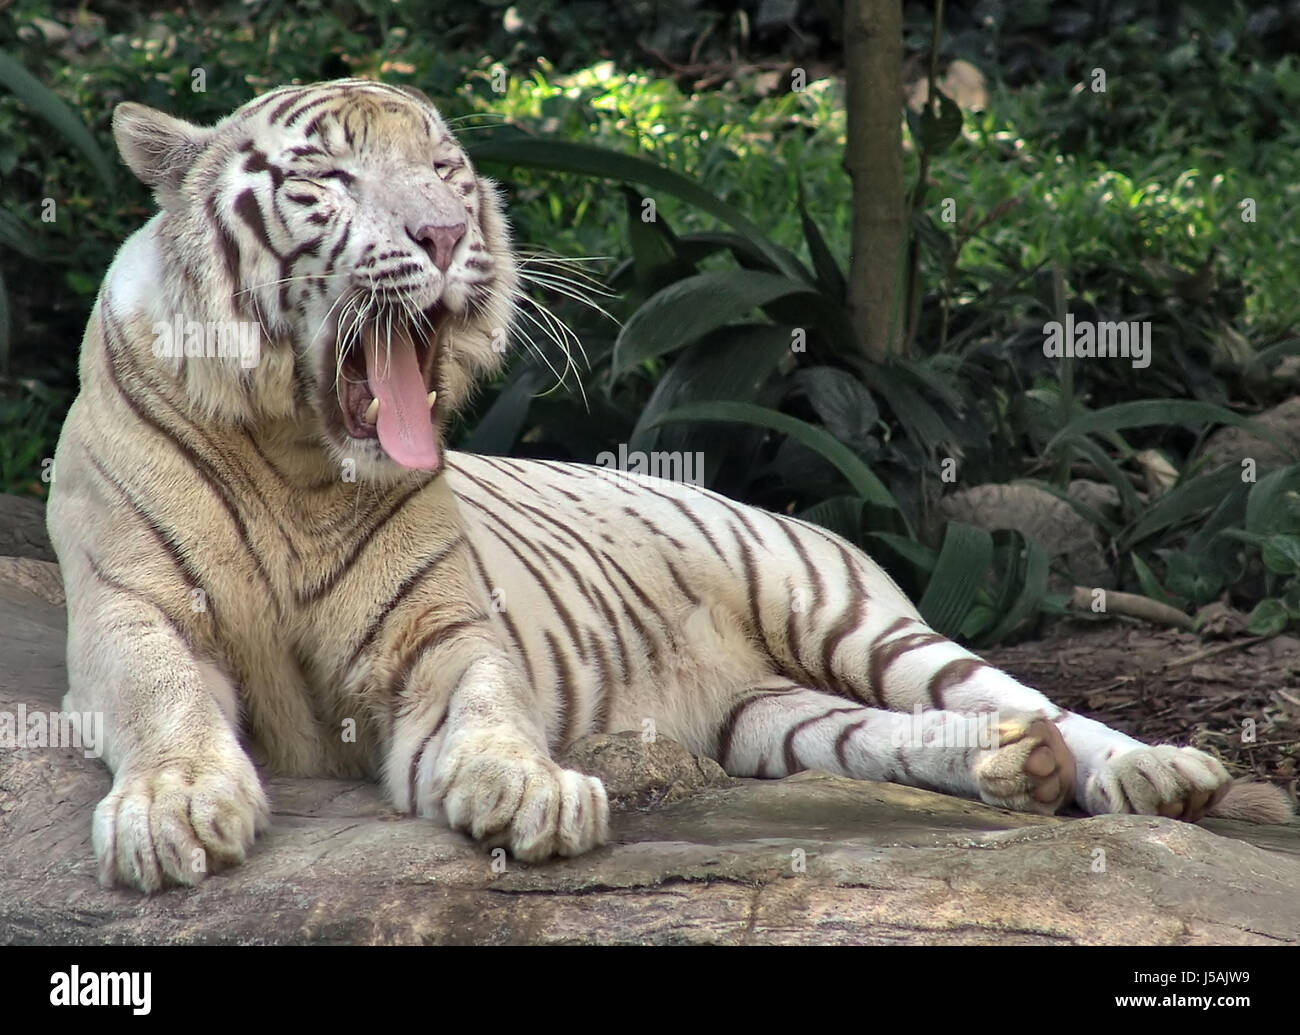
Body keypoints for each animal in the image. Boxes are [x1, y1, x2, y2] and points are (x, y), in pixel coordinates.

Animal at [48, 78, 1289, 889]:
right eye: (330, 177)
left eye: (445, 171)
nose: (445, 234)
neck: (301, 458)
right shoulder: (127, 611)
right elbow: (164, 697)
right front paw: (172, 809)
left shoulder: (441, 631)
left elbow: (487, 709)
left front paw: (530, 791)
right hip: (775, 720)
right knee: (898, 732)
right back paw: (1009, 770)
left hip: (849, 616)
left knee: (1027, 696)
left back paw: (1154, 773)